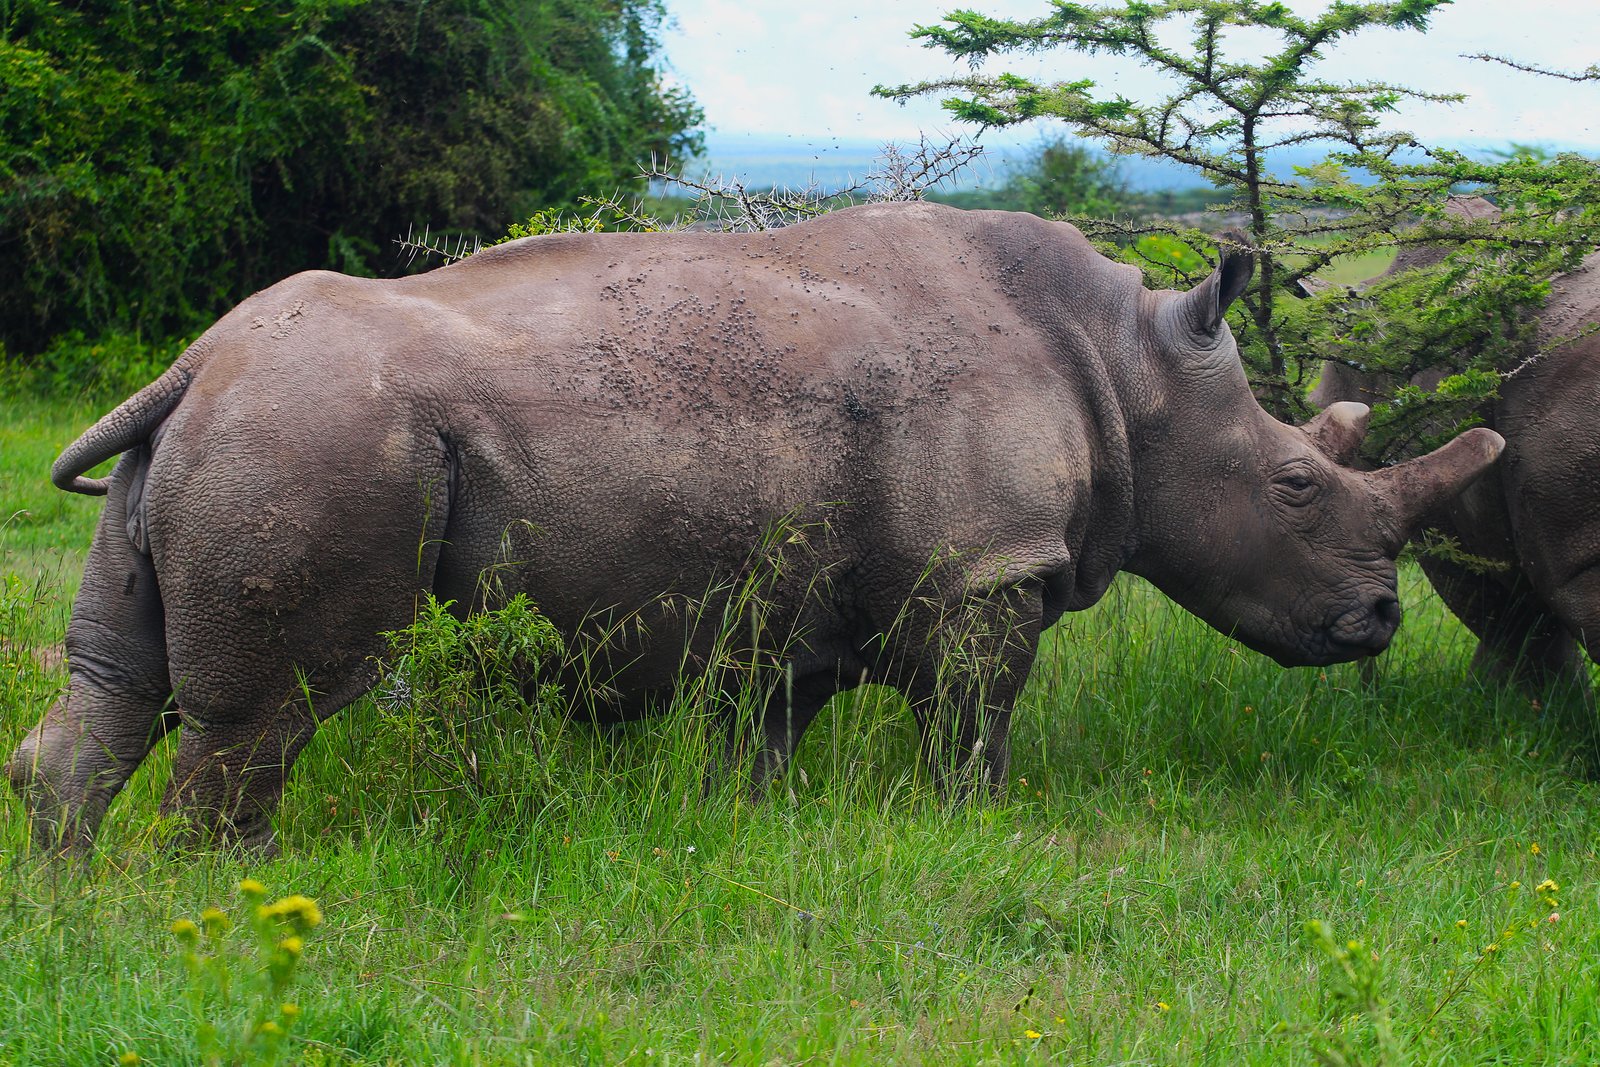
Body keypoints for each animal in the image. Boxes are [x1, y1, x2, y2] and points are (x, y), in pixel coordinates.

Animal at [7, 202, 1503, 853]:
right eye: (1298, 486)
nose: (1382, 616)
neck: (1130, 371)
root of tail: (194, 361)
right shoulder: (985, 569)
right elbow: (976, 716)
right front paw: (978, 829)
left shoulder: (792, 601)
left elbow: (766, 734)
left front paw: (751, 828)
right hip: (318, 431)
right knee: (272, 710)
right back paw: (237, 895)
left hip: (232, 426)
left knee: (118, 679)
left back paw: (83, 892)